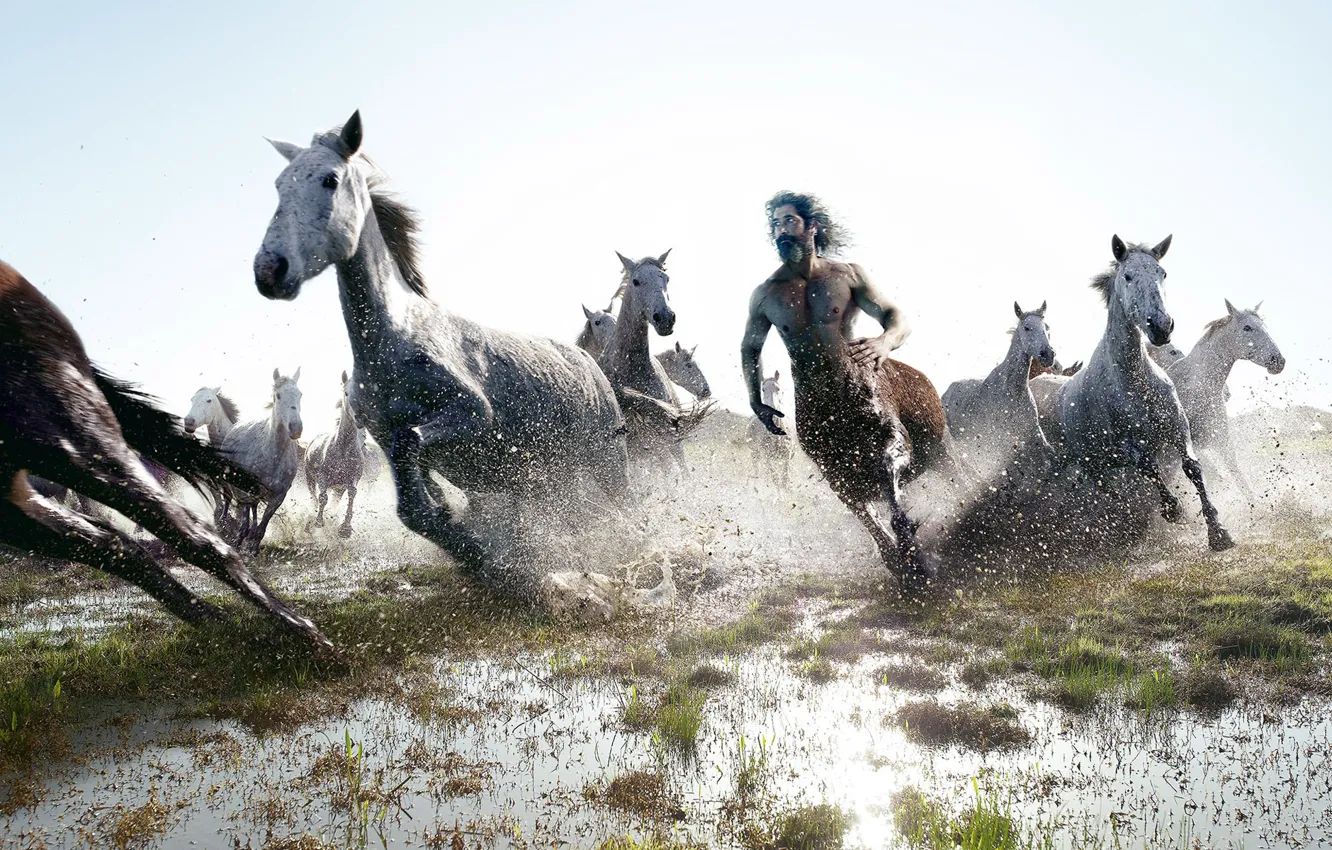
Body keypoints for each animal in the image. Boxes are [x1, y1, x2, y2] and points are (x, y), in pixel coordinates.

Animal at [220, 368, 304, 551]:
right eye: (278, 395)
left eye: (300, 394)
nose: (296, 428)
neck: (273, 455)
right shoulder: (245, 488)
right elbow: (244, 520)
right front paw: (239, 542)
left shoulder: (278, 496)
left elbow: (262, 527)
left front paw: (253, 547)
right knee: (231, 499)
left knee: (254, 507)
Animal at [304, 371, 365, 537]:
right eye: (346, 393)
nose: (360, 418)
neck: (343, 449)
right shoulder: (322, 476)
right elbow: (322, 497)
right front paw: (319, 522)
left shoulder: (352, 478)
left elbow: (353, 493)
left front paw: (345, 528)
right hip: (309, 477)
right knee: (313, 497)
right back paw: (310, 522)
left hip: (338, 488)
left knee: (334, 501)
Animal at [943, 302, 1056, 478]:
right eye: (1027, 328)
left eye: (1047, 327)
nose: (1048, 355)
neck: (1013, 391)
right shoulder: (1000, 441)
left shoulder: (1034, 432)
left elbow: (1049, 456)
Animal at [1031, 235, 1234, 552]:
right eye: (1127, 276)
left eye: (1162, 273)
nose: (1161, 326)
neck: (1135, 381)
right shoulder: (1128, 445)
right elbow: (1149, 467)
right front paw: (1173, 509)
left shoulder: (1178, 427)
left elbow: (1192, 467)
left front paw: (1217, 531)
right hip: (1087, 462)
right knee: (1105, 488)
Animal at [1165, 300, 1285, 500]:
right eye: (1247, 327)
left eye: (1264, 326)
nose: (1279, 361)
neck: (1202, 387)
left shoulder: (1221, 442)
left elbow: (1239, 480)